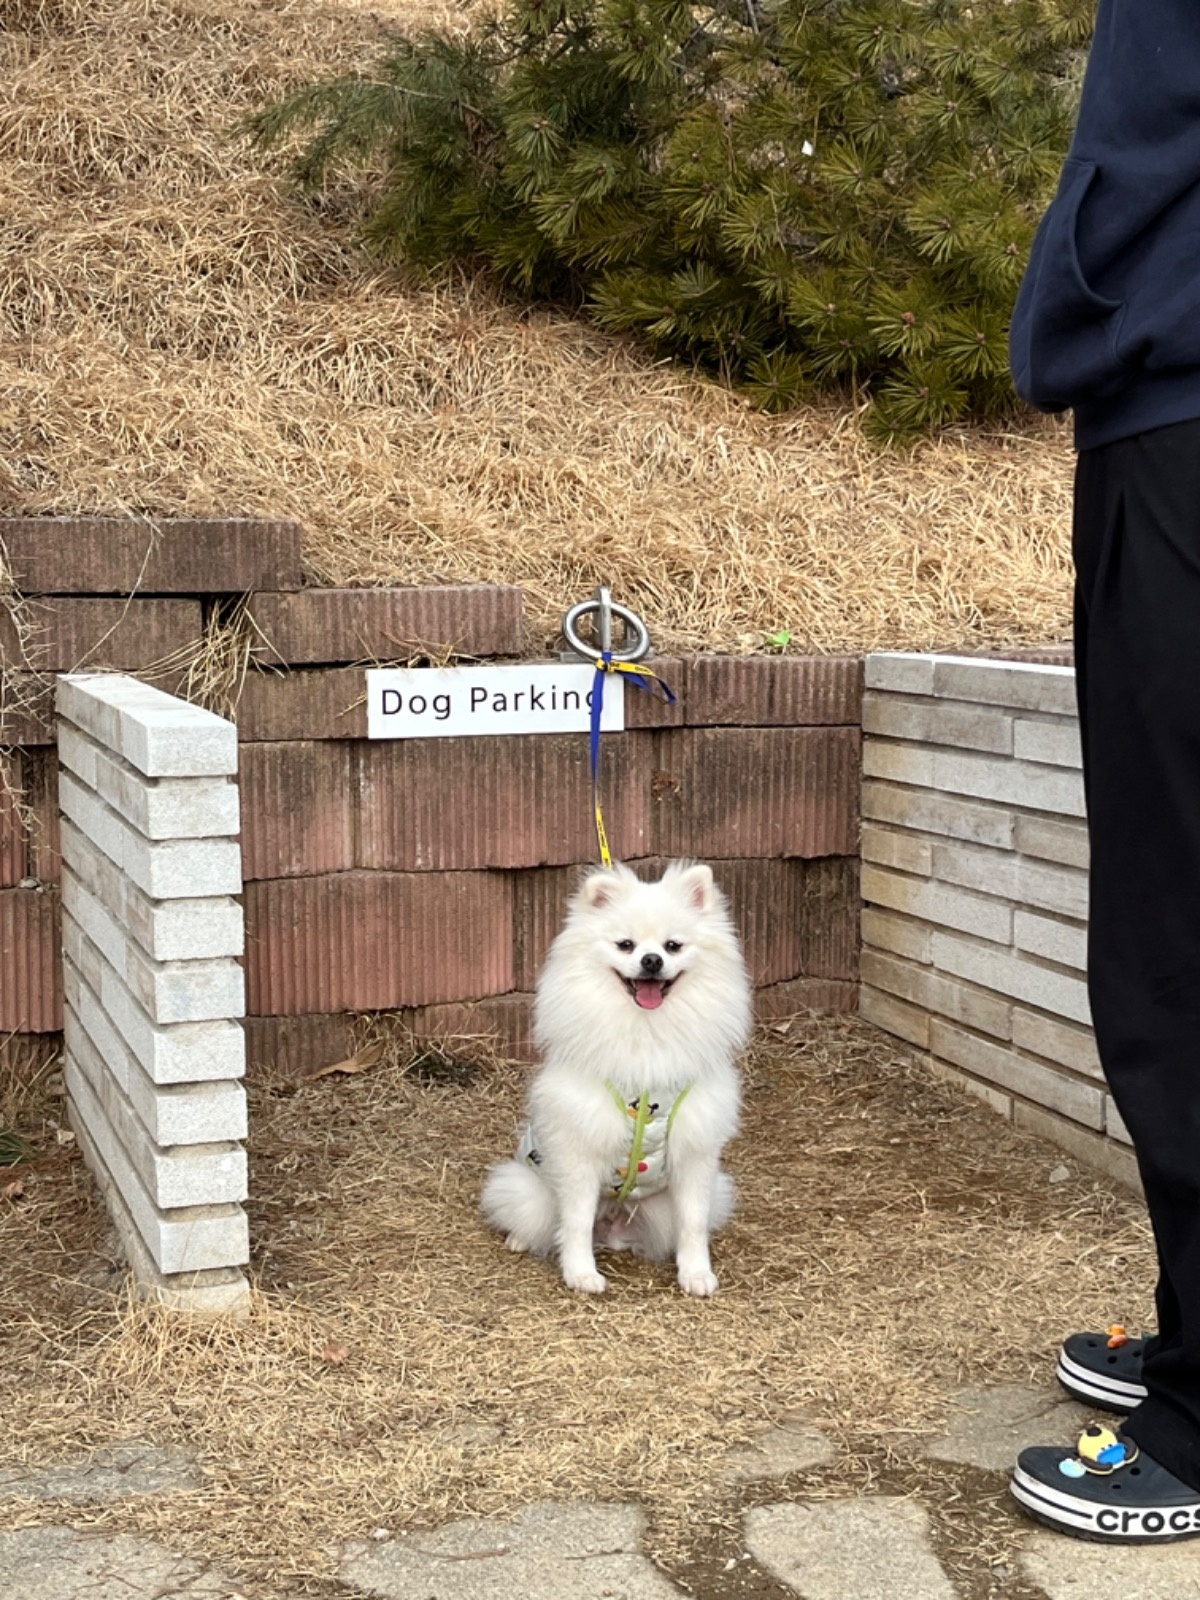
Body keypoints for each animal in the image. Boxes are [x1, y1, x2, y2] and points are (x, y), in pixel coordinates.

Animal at [483, 857, 752, 1292]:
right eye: (626, 944)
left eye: (673, 946)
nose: (651, 960)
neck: (646, 1032)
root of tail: (612, 1222)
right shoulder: (579, 1147)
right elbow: (575, 1222)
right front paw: (581, 1274)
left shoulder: (696, 1151)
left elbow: (693, 1223)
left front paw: (696, 1273)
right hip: (530, 1189)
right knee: (541, 1218)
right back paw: (521, 1239)